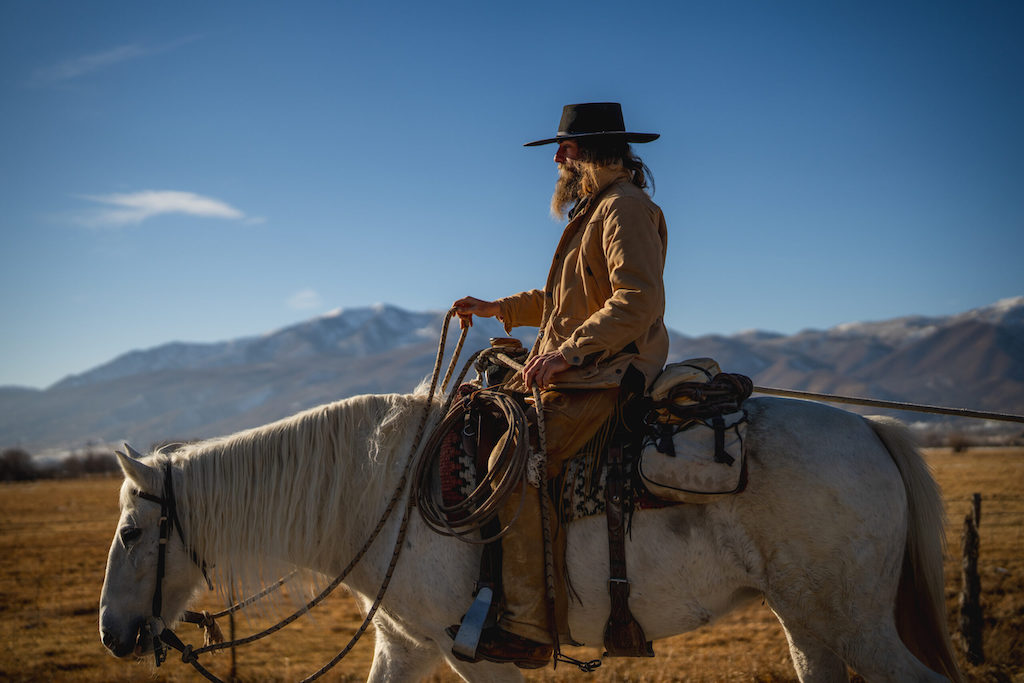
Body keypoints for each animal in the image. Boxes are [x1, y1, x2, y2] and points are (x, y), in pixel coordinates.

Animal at [99, 389, 962, 683]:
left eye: (134, 532)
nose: (111, 633)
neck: (379, 495)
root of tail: (871, 428)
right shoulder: (407, 645)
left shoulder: (471, 648)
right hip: (808, 617)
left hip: (857, 618)